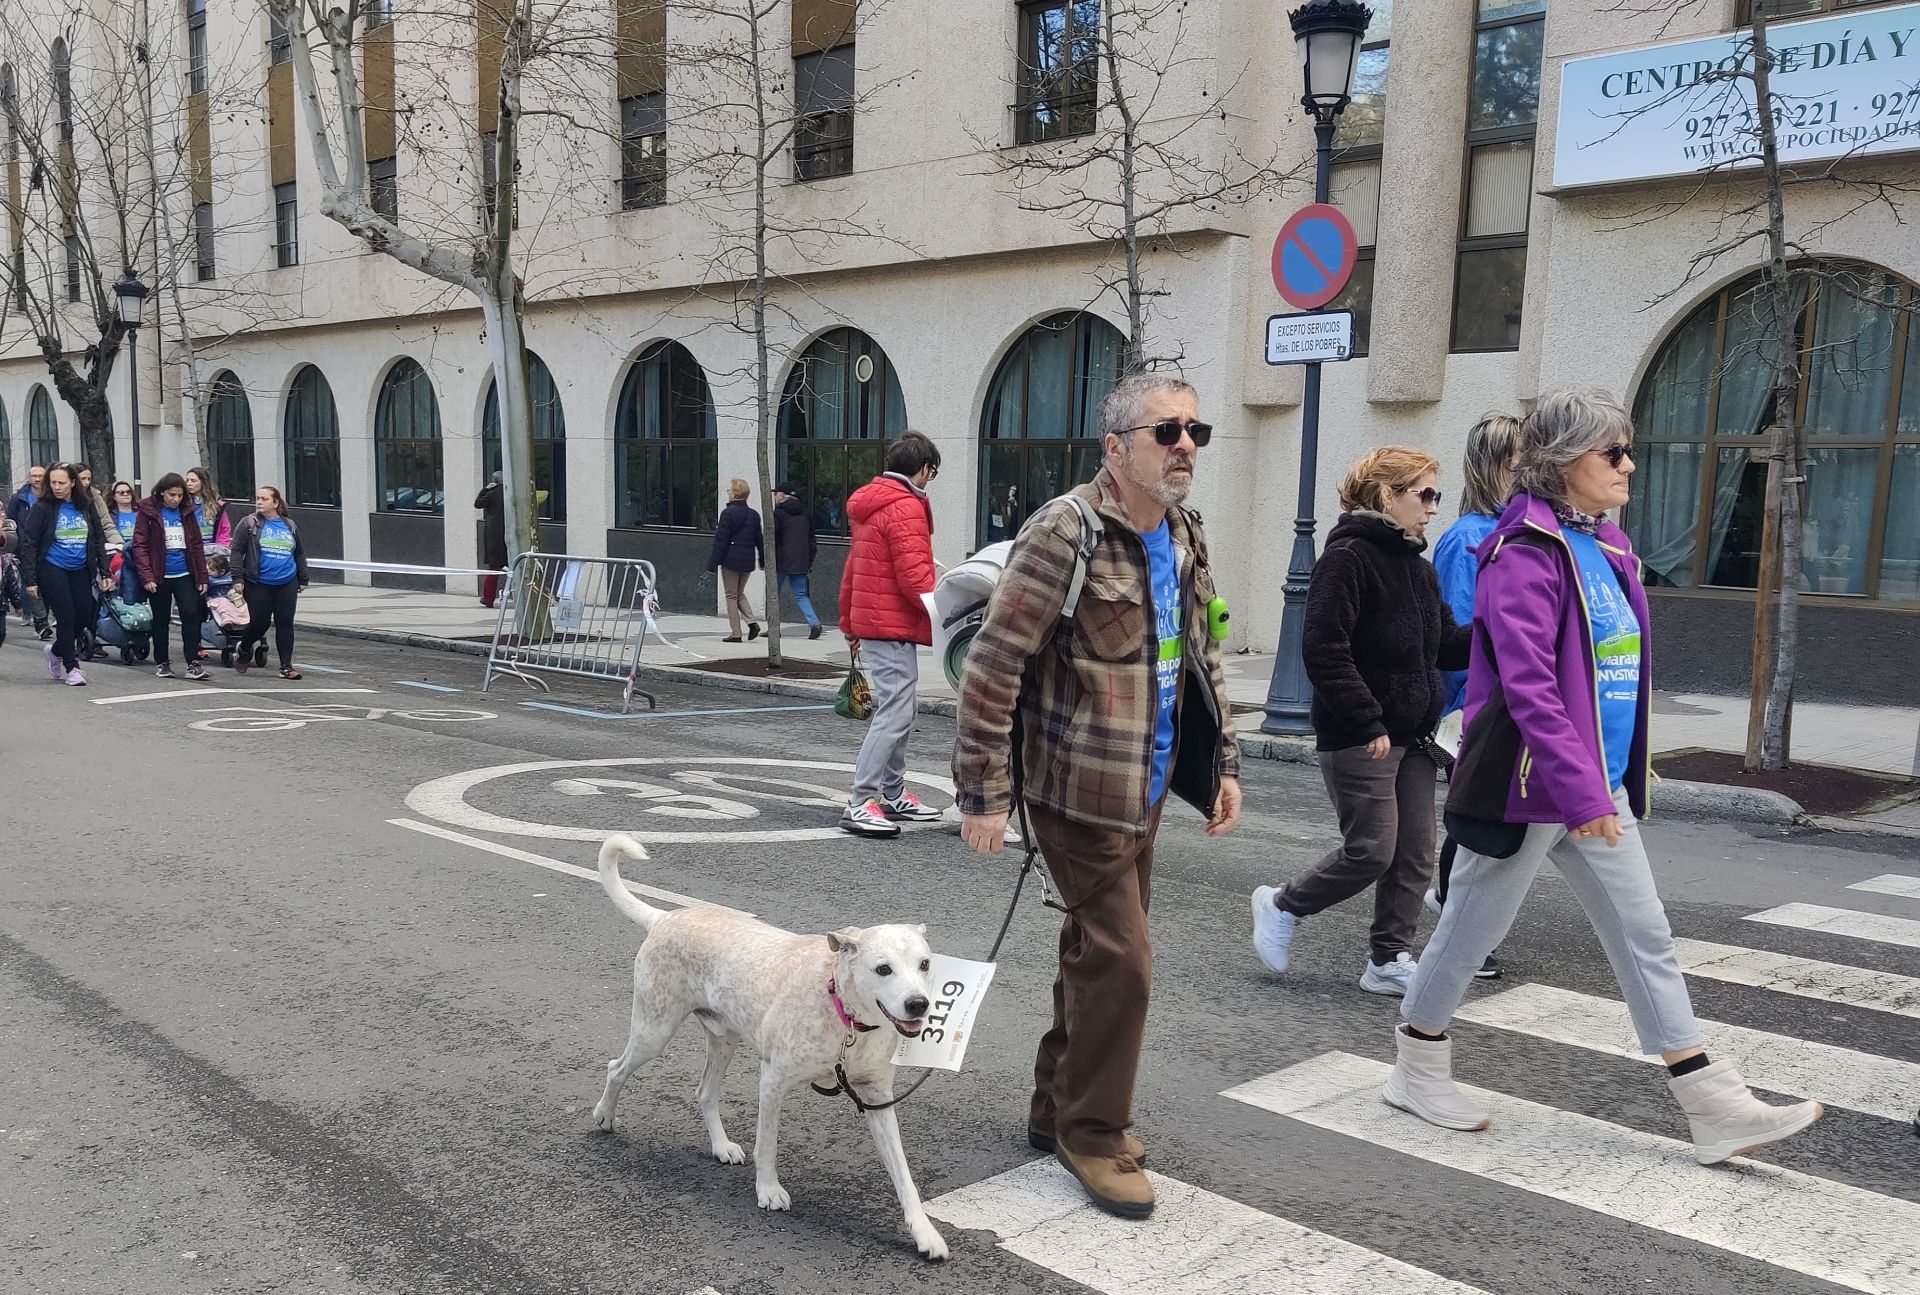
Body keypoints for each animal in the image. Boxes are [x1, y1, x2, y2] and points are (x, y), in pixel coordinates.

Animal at [583, 833, 944, 1252]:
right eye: (883, 969)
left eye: (924, 964)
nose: (918, 1004)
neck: (844, 1014)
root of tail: (666, 918)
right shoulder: (773, 1080)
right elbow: (767, 1144)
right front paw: (768, 1191)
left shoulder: (876, 1097)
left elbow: (903, 1175)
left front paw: (924, 1232)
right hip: (653, 1032)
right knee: (616, 1068)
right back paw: (605, 1116)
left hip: (723, 1040)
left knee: (704, 1093)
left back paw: (721, 1146)